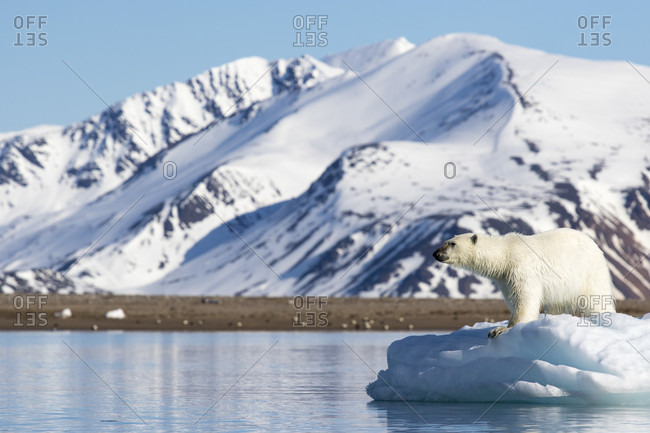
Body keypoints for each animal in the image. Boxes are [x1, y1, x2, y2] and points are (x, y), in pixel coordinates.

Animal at [432, 228, 616, 338]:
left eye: (452, 243)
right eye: (446, 241)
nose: (435, 253)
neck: (505, 254)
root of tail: (595, 245)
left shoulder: (520, 269)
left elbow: (525, 299)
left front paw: (500, 329)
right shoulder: (504, 278)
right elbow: (513, 298)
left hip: (588, 271)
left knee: (596, 298)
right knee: (557, 304)